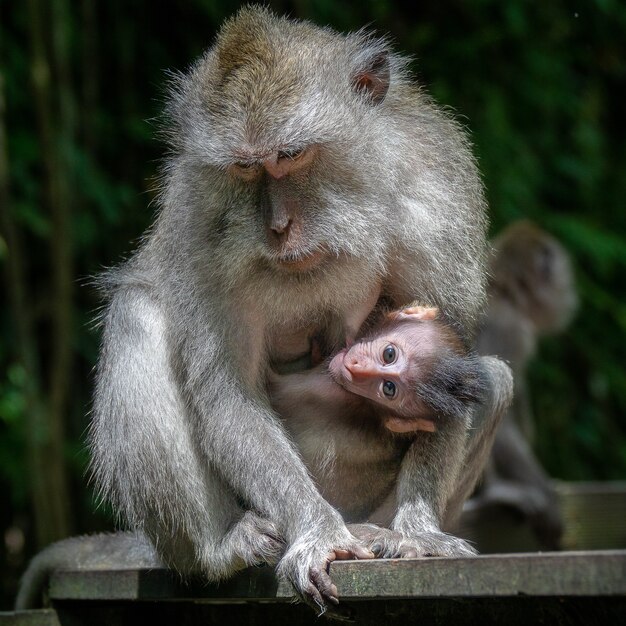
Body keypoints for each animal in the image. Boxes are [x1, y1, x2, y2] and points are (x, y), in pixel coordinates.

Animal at [78, 7, 512, 612]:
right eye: (244, 167)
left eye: (289, 156)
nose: (277, 226)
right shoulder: (199, 221)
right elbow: (226, 390)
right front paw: (318, 532)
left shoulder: (434, 200)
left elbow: (462, 362)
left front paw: (419, 532)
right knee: (136, 316)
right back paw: (222, 548)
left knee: (493, 377)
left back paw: (382, 532)